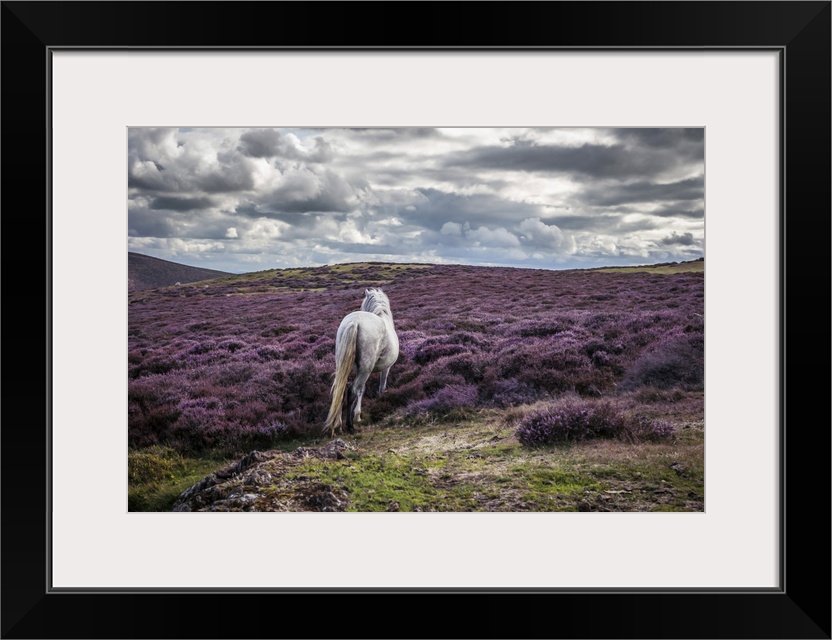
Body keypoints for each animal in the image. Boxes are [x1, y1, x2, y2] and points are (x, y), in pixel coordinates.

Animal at [324, 288, 400, 438]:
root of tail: (354, 322)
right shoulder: (385, 368)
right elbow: (380, 386)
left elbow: (362, 389)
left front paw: (357, 415)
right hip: (366, 369)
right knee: (351, 391)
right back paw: (349, 427)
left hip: (345, 366)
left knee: (340, 390)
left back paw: (338, 424)